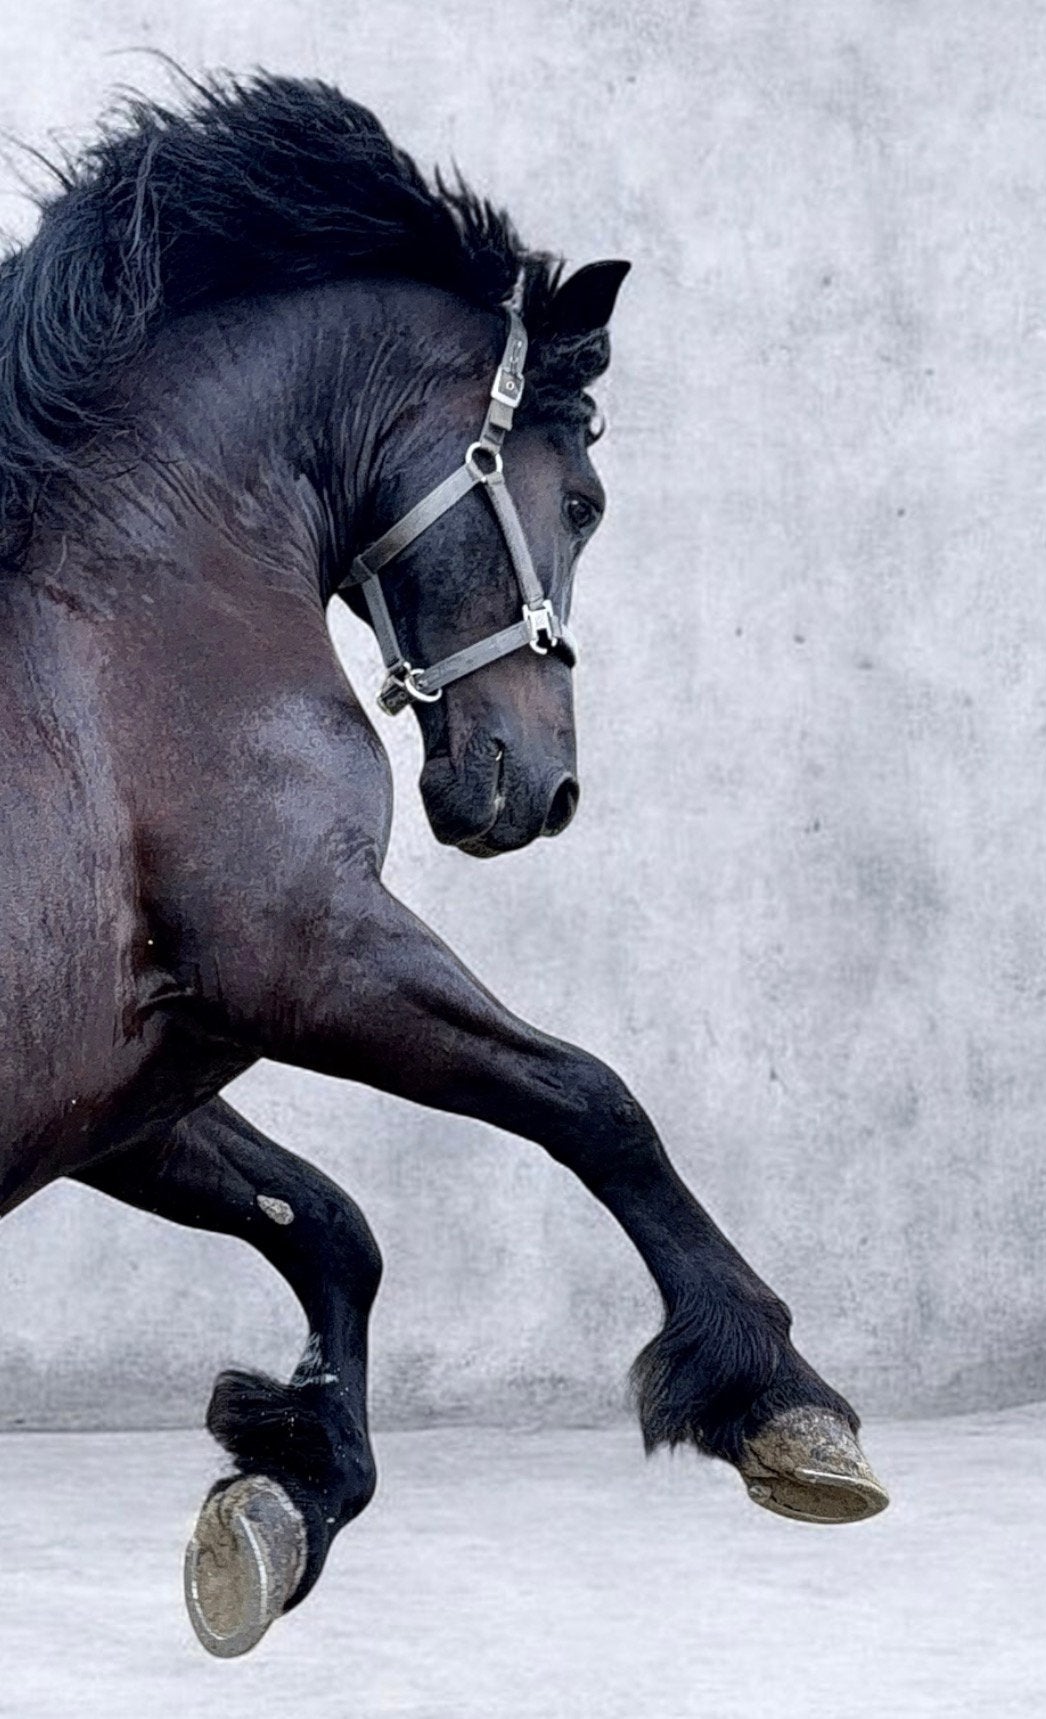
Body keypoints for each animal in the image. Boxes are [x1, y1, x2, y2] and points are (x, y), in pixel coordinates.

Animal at [0, 72, 887, 1658]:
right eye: (580, 498)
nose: (539, 786)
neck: (126, 631)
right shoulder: (309, 955)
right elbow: (594, 1103)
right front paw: (779, 1403)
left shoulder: (134, 1075)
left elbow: (330, 1224)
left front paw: (282, 1496)